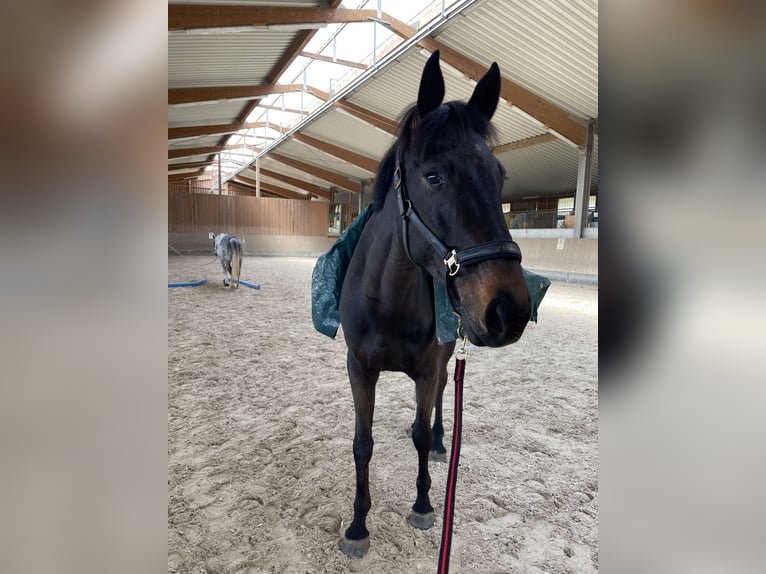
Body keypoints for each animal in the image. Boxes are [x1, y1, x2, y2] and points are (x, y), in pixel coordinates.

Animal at [337, 50, 532, 559]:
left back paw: (447, 442)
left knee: (445, 393)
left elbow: (420, 433)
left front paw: (424, 505)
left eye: (499, 176)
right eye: (433, 176)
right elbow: (362, 443)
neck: (387, 301)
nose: (510, 310)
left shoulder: (427, 368)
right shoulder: (358, 368)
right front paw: (357, 525)